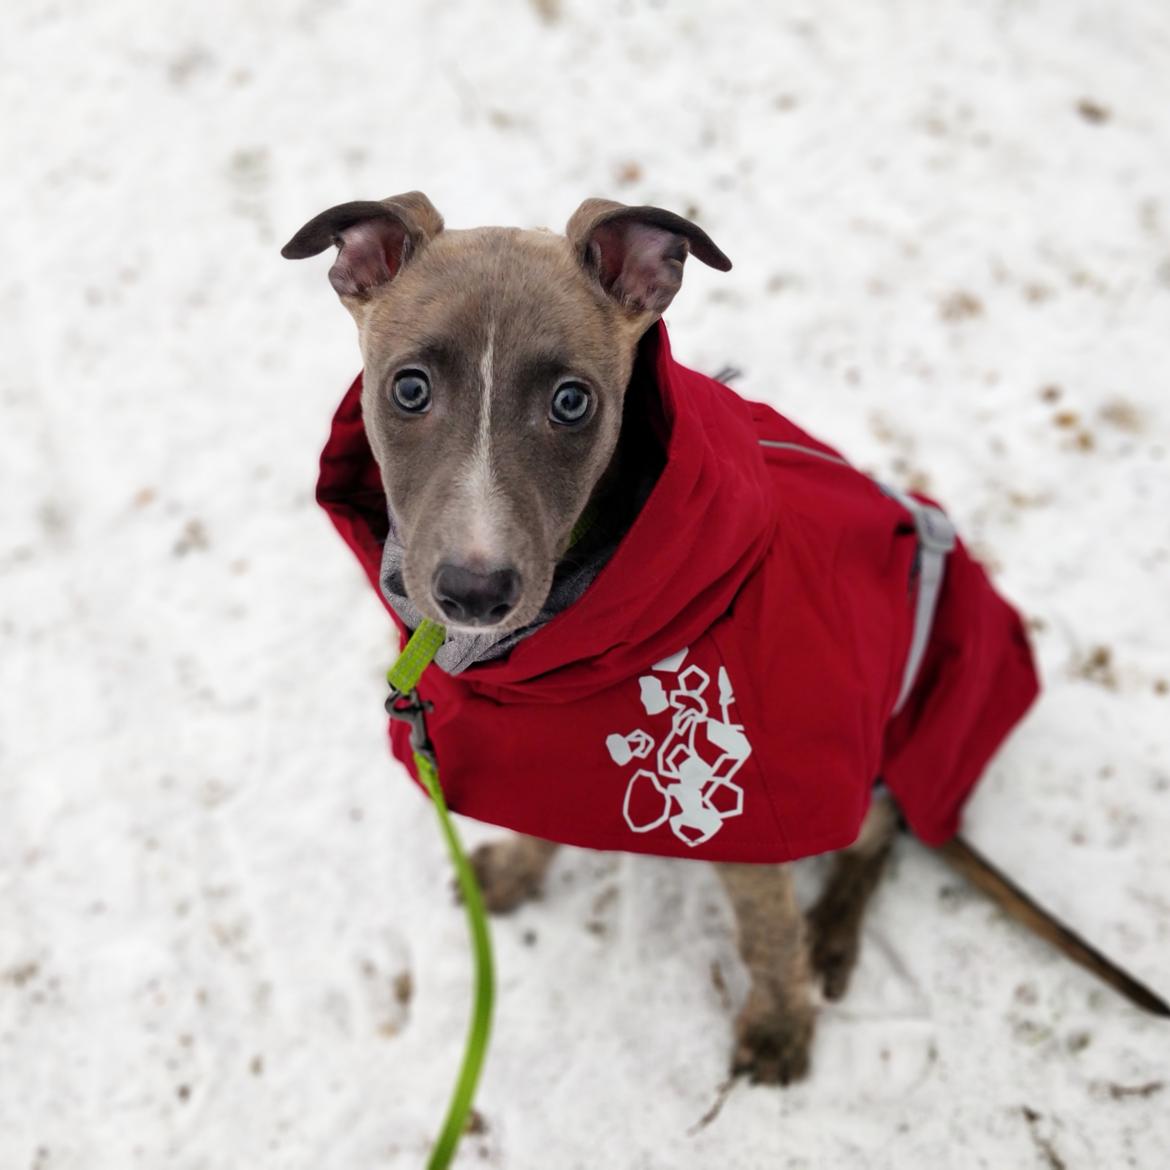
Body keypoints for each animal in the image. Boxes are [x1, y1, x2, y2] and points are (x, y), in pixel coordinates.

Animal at [283, 194, 1043, 1085]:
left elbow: (768, 930)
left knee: (874, 841)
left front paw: (779, 1028)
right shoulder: (539, 752)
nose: (475, 591)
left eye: (572, 401)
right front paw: (514, 871)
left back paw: (831, 928)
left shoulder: (764, 799)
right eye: (408, 388)